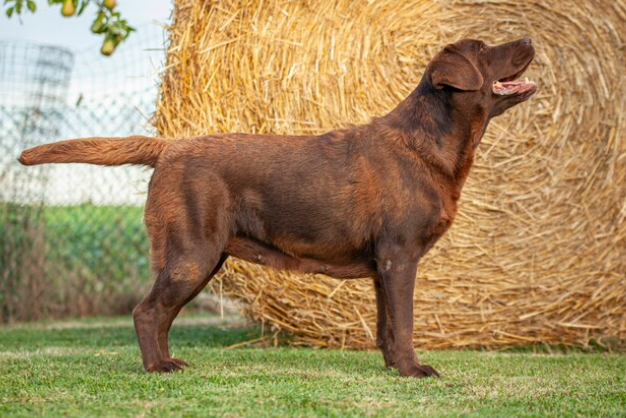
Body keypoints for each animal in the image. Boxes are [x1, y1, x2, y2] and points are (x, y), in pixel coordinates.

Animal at [20, 37, 536, 378]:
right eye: (484, 49)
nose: (528, 37)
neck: (430, 144)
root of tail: (169, 146)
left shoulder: (384, 264)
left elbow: (387, 325)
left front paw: (394, 367)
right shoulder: (400, 254)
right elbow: (405, 323)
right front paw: (414, 370)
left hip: (200, 258)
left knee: (160, 313)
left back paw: (167, 361)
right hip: (192, 253)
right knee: (146, 312)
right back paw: (157, 368)